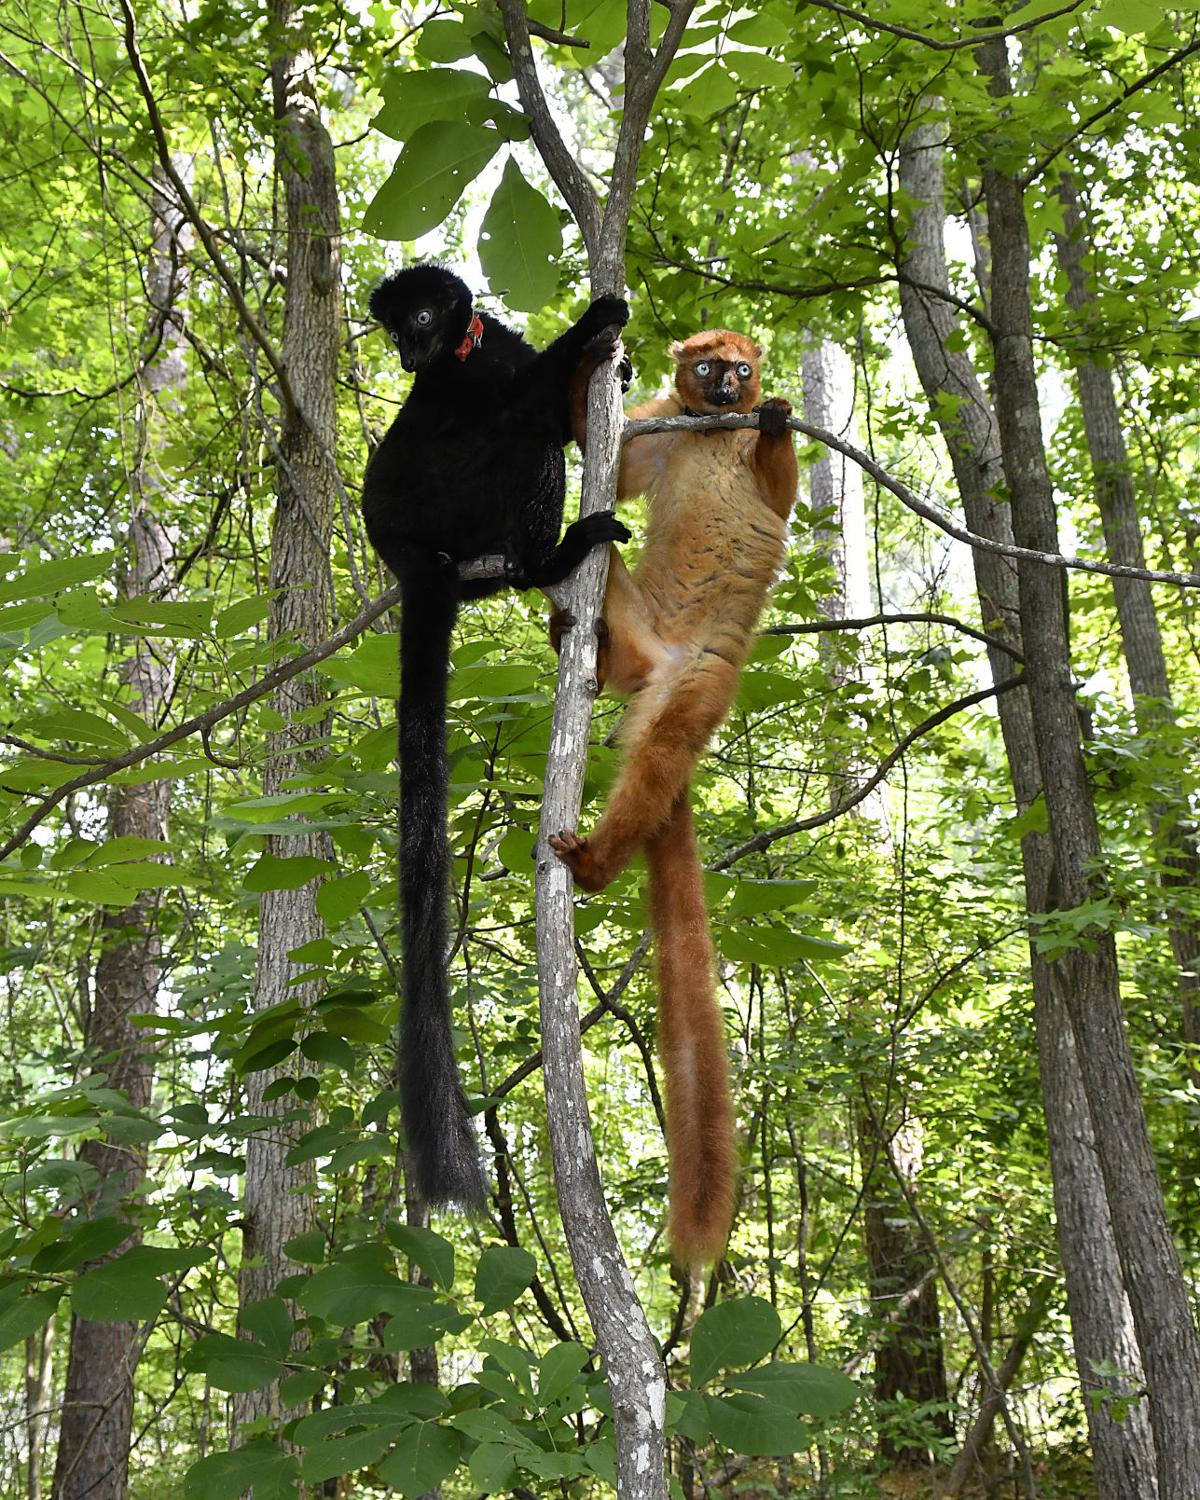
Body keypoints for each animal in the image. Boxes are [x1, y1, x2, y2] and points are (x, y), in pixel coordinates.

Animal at [361, 263, 631, 1209]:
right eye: (399, 325)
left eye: (422, 314)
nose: (410, 349)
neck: (464, 354)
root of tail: (410, 558)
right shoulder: (463, 391)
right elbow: (522, 410)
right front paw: (594, 323)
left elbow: (548, 409)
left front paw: (610, 369)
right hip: (457, 504)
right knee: (520, 442)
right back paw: (549, 562)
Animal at [551, 329, 798, 1266]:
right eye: (705, 366)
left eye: (741, 368)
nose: (726, 388)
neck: (708, 432)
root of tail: (657, 668)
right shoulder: (660, 425)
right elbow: (613, 472)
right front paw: (596, 362)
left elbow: (780, 494)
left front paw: (777, 424)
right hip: (635, 623)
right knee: (602, 551)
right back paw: (584, 635)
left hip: (702, 682)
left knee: (659, 760)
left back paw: (595, 862)